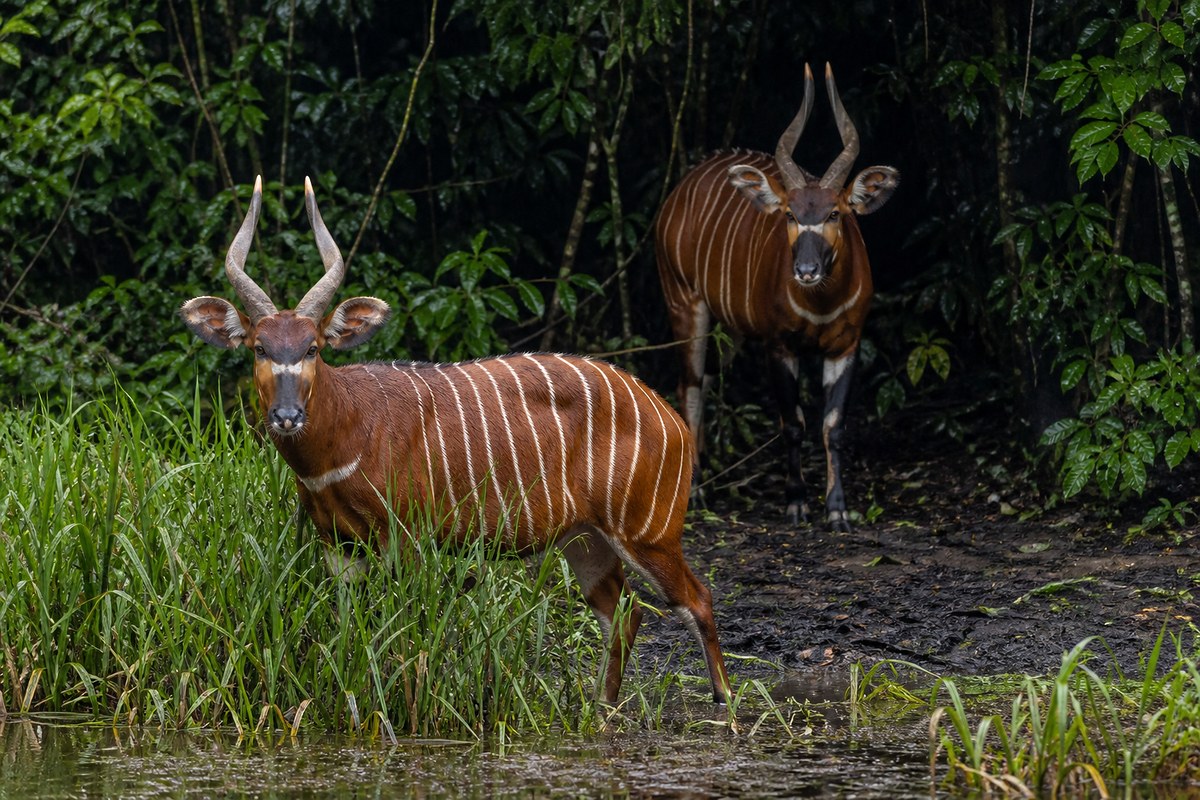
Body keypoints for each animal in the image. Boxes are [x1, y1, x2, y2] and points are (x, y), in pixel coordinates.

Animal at [181, 176, 731, 706]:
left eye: (313, 347)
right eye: (259, 348)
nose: (288, 416)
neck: (345, 438)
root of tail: (673, 420)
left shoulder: (406, 536)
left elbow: (403, 635)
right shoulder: (340, 546)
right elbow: (349, 632)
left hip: (648, 531)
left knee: (697, 600)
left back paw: (724, 707)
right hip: (585, 537)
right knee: (623, 613)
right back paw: (602, 710)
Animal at [655, 63, 899, 532]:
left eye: (835, 213)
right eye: (790, 214)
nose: (805, 270)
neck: (820, 303)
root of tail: (680, 191)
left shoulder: (846, 344)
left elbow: (833, 425)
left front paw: (837, 510)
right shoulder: (779, 345)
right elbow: (793, 423)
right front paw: (796, 503)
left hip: (729, 331)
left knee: (707, 379)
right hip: (684, 303)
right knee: (688, 384)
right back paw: (694, 490)